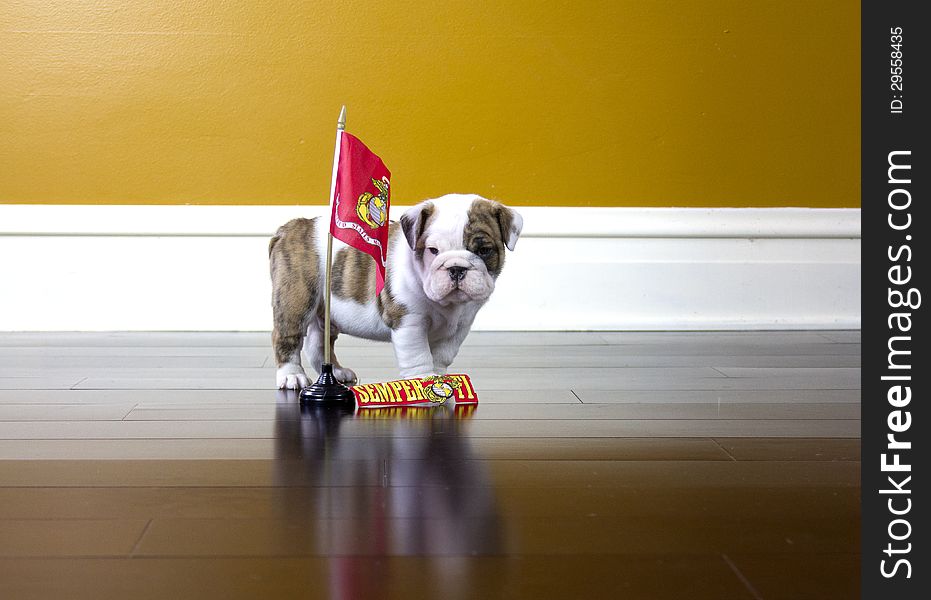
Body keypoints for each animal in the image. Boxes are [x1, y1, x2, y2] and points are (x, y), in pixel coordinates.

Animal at [270, 193, 524, 390]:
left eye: (484, 250)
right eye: (433, 250)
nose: (456, 268)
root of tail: (288, 228)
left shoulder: (459, 327)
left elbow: (442, 355)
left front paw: (439, 377)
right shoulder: (409, 321)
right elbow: (418, 355)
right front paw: (424, 381)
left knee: (318, 342)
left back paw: (339, 372)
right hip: (296, 298)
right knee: (287, 337)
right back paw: (292, 375)